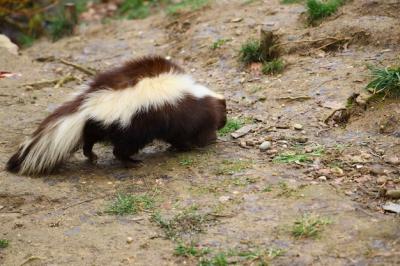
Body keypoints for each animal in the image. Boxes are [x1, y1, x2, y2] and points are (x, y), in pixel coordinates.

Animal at [6, 55, 227, 175]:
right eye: (225, 112)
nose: (224, 123)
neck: (197, 96)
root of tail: (88, 101)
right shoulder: (180, 114)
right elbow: (184, 134)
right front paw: (195, 144)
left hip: (100, 123)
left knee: (89, 140)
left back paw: (92, 156)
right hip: (131, 124)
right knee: (119, 149)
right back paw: (132, 162)